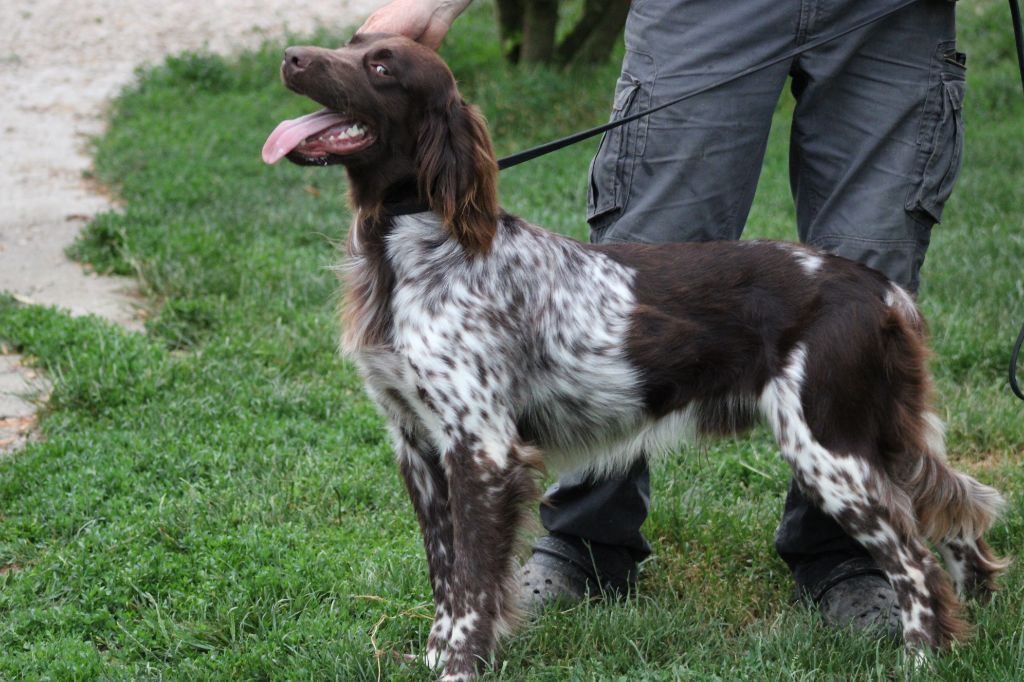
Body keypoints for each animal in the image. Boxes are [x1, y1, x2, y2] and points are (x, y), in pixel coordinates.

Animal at [262, 34, 1007, 675]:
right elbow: (446, 581)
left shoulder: (484, 450)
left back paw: (922, 659)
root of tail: (881, 292)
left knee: (915, 560)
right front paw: (436, 657)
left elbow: (473, 590)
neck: (414, 248)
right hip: (877, 435)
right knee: (958, 511)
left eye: (381, 65)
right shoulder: (417, 445)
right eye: (354, 42)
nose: (291, 57)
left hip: (829, 449)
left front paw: (460, 669)